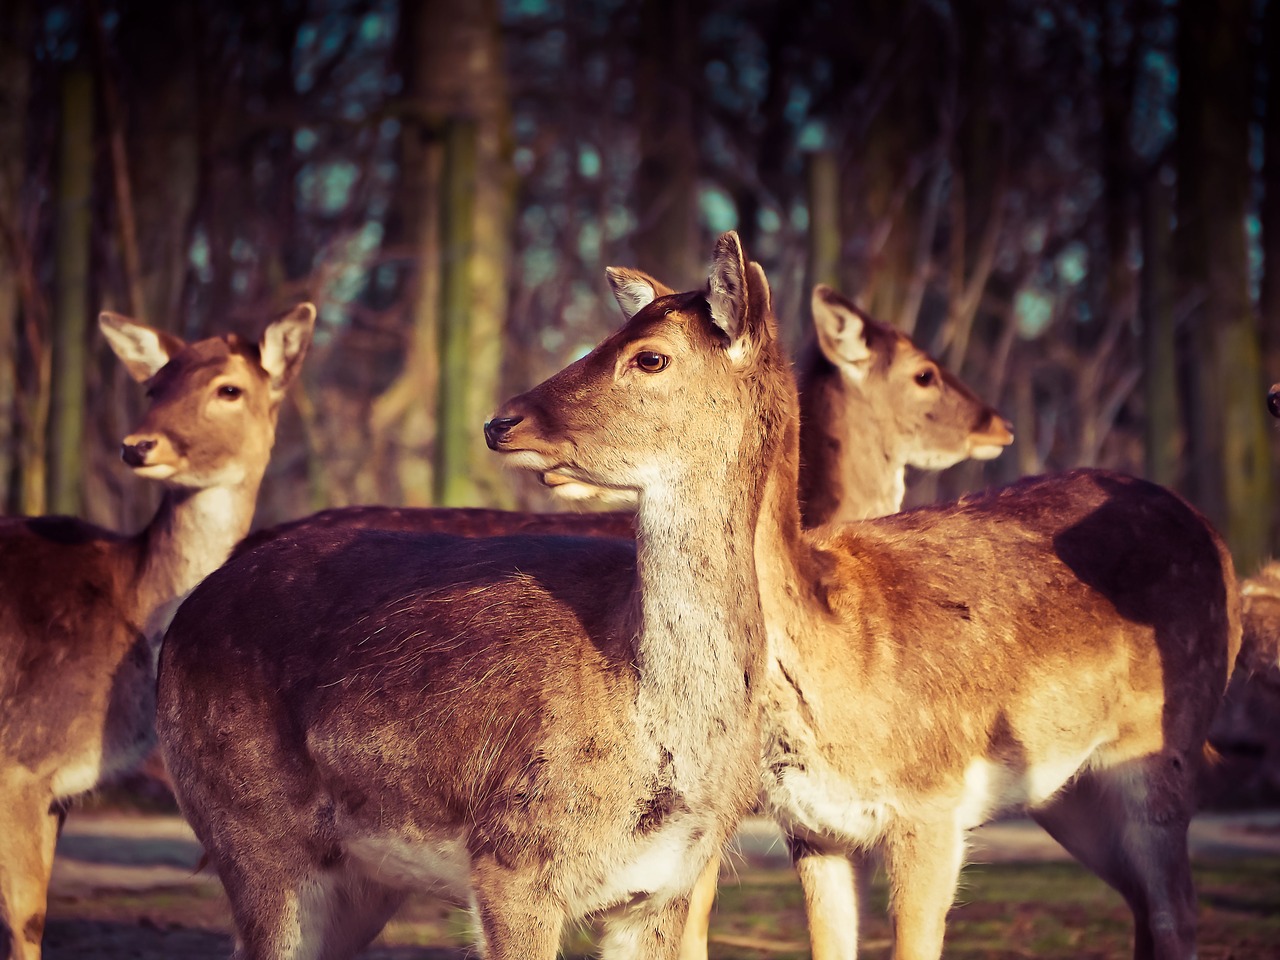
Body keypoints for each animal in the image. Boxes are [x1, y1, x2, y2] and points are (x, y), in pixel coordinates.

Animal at [0, 305, 314, 960]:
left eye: (229, 389)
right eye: (153, 387)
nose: (138, 445)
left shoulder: (52, 789)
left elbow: (32, 915)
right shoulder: (16, 758)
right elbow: (26, 920)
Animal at [151, 232, 788, 960]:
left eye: (649, 356)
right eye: (607, 335)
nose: (502, 421)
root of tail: (182, 617)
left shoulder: (668, 883)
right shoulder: (511, 858)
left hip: (356, 882)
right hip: (247, 832)